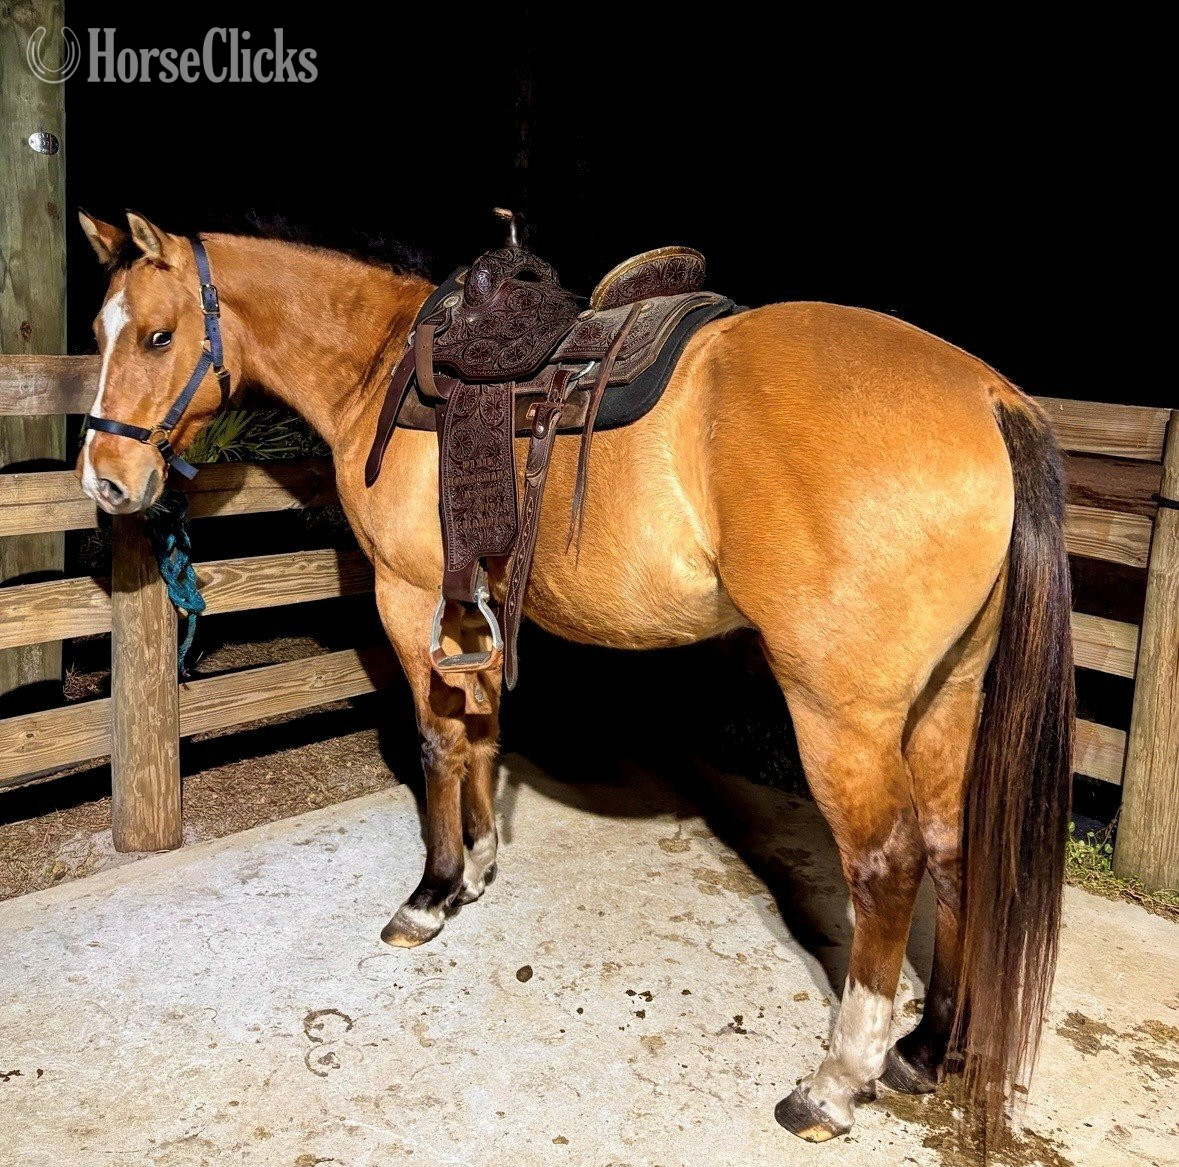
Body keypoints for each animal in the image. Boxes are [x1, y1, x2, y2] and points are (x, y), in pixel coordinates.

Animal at [75, 210, 1074, 1146]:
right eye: (99, 329)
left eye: (158, 336)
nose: (107, 480)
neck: (380, 369)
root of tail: (986, 396)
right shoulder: (466, 606)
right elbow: (479, 732)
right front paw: (477, 866)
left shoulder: (407, 596)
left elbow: (437, 742)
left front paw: (431, 893)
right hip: (949, 696)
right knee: (951, 844)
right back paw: (926, 1047)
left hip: (841, 714)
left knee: (885, 866)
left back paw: (834, 1080)